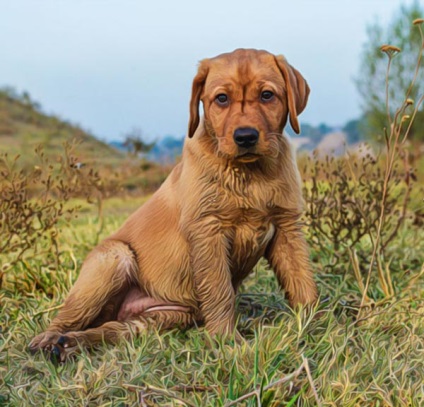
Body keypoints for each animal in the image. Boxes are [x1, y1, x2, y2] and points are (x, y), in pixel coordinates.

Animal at [29, 49, 318, 362]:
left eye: (267, 95)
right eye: (222, 99)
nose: (245, 137)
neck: (250, 173)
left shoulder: (287, 225)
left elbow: (301, 279)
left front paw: (314, 323)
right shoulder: (208, 230)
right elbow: (220, 291)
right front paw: (227, 342)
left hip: (157, 318)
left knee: (113, 329)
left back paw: (71, 343)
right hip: (114, 258)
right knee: (64, 317)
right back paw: (50, 341)